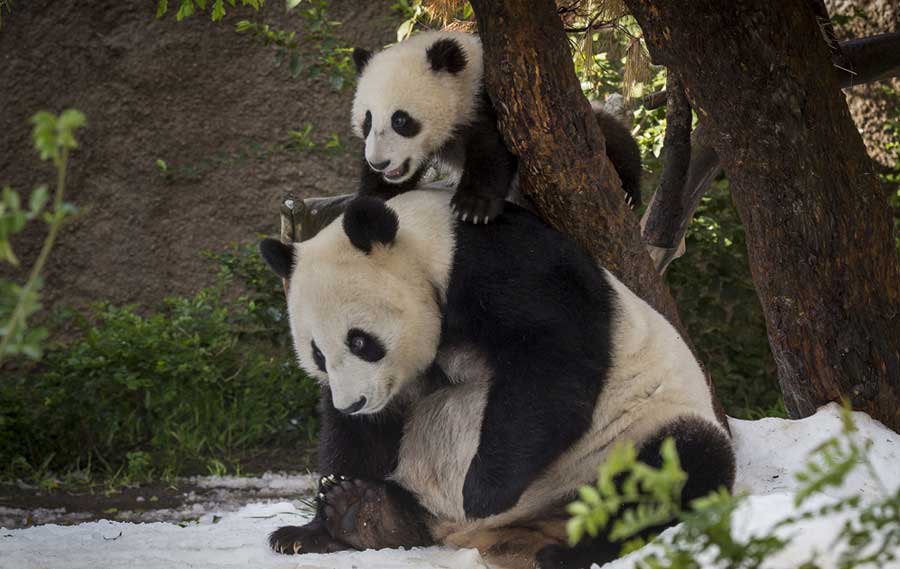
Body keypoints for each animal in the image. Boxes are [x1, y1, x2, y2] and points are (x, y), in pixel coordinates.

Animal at [262, 190, 740, 568]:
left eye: (361, 341)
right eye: (318, 354)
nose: (354, 403)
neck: (430, 247)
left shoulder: (510, 269)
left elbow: (551, 365)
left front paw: (482, 492)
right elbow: (362, 433)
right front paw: (315, 524)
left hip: (627, 438)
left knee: (680, 467)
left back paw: (571, 553)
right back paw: (366, 513)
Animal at [350, 30, 640, 223]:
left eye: (400, 120)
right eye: (368, 120)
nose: (379, 163)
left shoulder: (494, 101)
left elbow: (492, 150)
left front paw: (473, 206)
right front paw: (376, 193)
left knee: (613, 137)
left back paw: (629, 193)